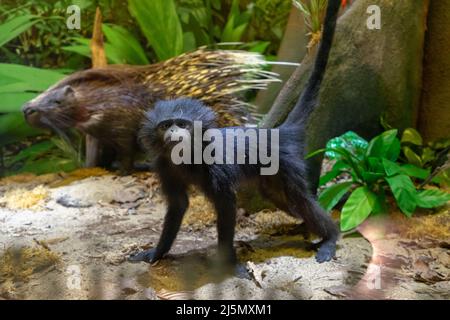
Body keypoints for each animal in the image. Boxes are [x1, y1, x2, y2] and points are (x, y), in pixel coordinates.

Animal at [132, 0, 342, 270]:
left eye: (182, 124)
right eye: (165, 125)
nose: (173, 131)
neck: (187, 157)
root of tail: (278, 133)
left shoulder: (216, 167)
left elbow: (227, 207)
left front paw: (229, 264)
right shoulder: (164, 167)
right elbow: (178, 206)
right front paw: (156, 253)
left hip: (288, 166)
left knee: (302, 201)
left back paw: (331, 237)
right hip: (271, 180)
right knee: (286, 201)